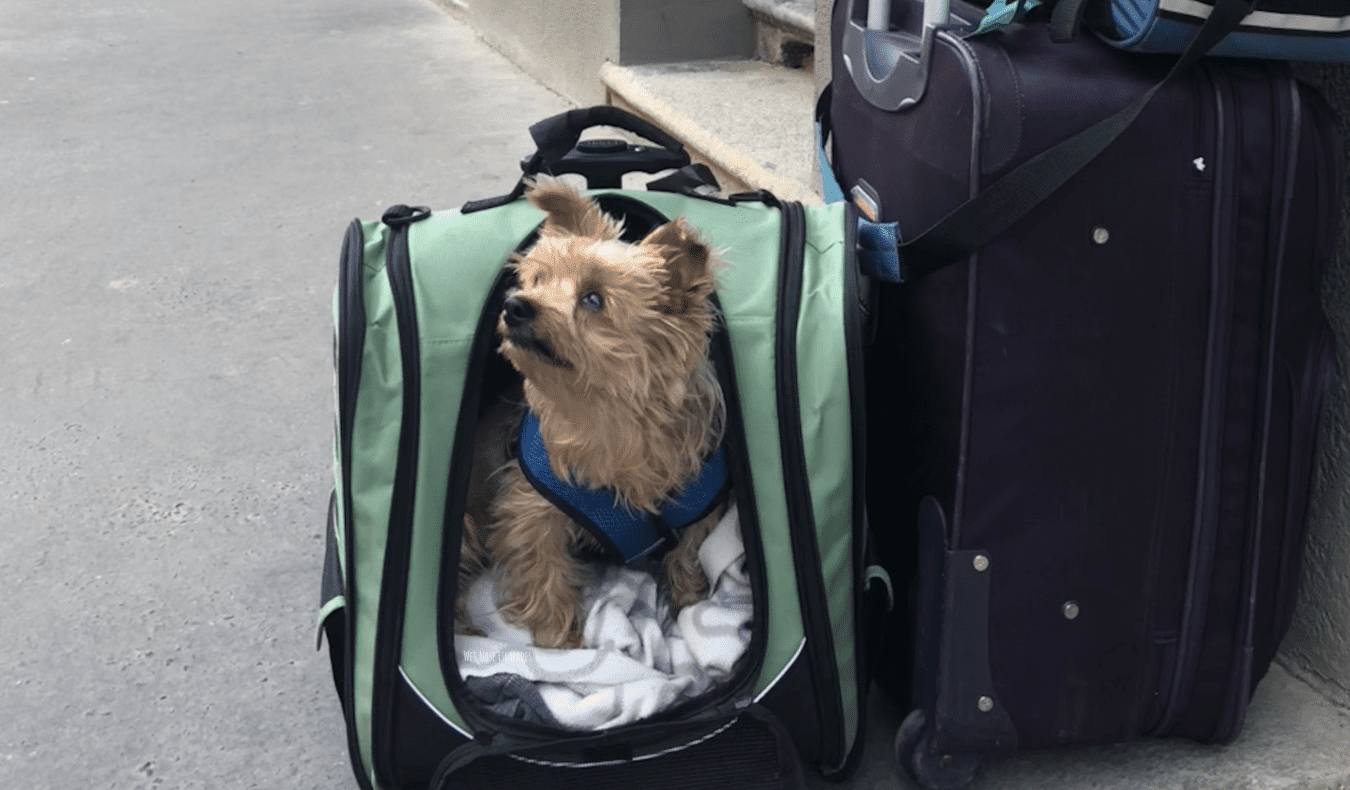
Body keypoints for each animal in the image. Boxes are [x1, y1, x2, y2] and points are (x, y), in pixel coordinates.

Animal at [461, 174, 739, 648]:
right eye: (537, 280)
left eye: (593, 300)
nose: (515, 306)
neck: (607, 412)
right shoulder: (531, 509)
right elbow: (544, 574)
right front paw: (559, 642)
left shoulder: (700, 504)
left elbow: (689, 552)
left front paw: (688, 603)